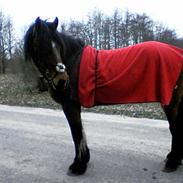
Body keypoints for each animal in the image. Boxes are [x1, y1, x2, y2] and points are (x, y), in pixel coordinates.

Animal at [24, 17, 183, 176]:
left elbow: (76, 133)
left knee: (175, 127)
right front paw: (84, 159)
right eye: (41, 46)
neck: (74, 62)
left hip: (171, 102)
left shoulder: (70, 105)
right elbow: (80, 132)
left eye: (58, 46)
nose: (62, 80)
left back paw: (172, 162)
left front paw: (78, 166)